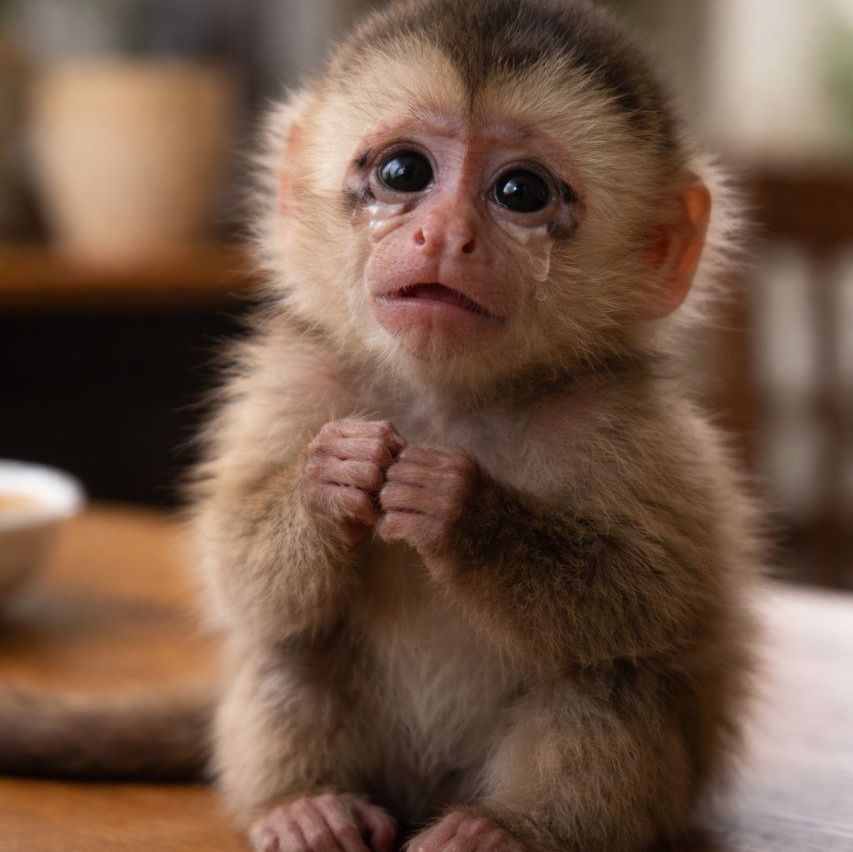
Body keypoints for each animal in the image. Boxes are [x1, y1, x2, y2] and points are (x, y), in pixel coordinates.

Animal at [0, 1, 759, 850]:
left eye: (520, 191)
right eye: (404, 174)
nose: (444, 236)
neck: (448, 400)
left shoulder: (625, 418)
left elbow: (654, 600)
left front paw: (459, 507)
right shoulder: (292, 378)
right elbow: (239, 576)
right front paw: (331, 481)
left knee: (607, 679)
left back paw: (505, 829)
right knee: (290, 646)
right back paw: (305, 804)